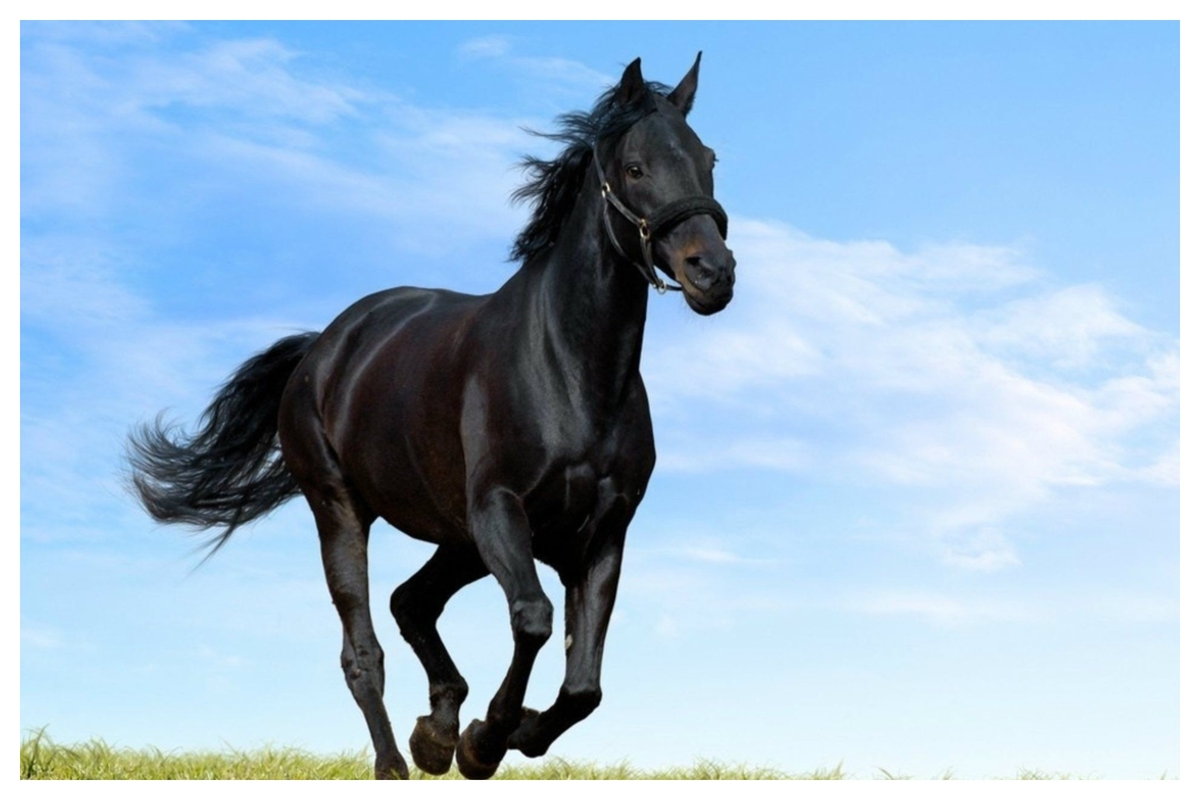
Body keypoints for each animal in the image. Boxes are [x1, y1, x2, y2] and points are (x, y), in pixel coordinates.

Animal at [127, 54, 735, 780]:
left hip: (459, 538)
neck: (570, 369)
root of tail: (324, 347)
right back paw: (400, 758)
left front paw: (500, 733)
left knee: (410, 602)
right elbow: (533, 618)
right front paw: (485, 740)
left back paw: (435, 731)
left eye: (708, 158)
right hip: (343, 510)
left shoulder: (602, 534)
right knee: (363, 650)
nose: (713, 273)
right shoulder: (500, 509)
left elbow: (583, 685)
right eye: (637, 168)